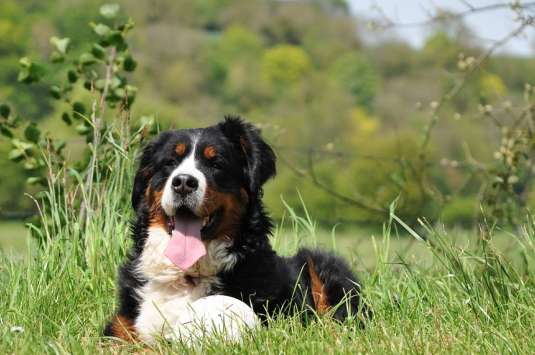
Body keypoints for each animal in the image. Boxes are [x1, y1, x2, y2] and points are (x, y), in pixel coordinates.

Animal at [105, 117, 372, 342]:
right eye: (170, 162)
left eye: (216, 163)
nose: (183, 183)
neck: (187, 275)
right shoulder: (121, 328)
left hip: (321, 264)